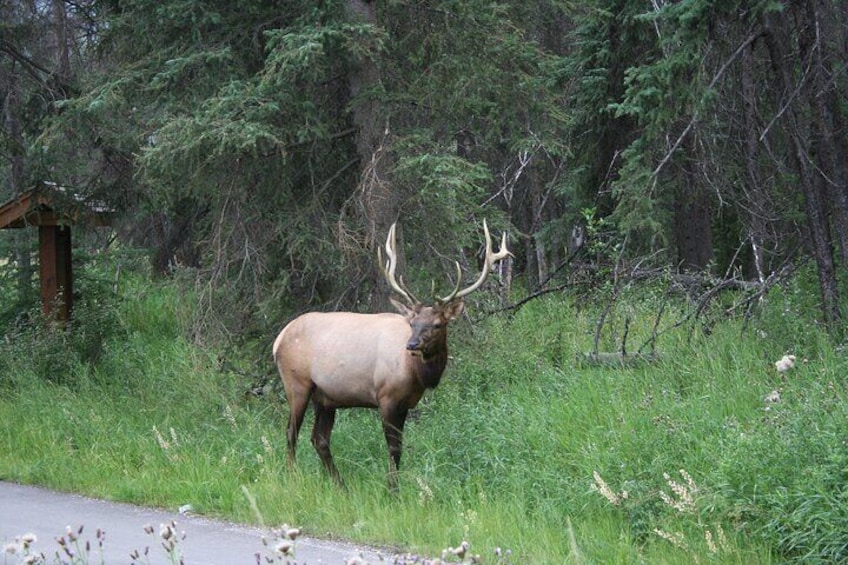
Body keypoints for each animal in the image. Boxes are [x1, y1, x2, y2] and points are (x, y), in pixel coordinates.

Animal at [274, 219, 510, 490]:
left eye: (437, 324)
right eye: (412, 322)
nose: (412, 344)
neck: (417, 374)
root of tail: (278, 340)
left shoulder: (406, 402)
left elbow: (398, 447)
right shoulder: (386, 397)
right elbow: (394, 448)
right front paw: (393, 490)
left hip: (325, 397)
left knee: (319, 439)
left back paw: (341, 485)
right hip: (297, 384)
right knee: (291, 433)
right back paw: (293, 478)